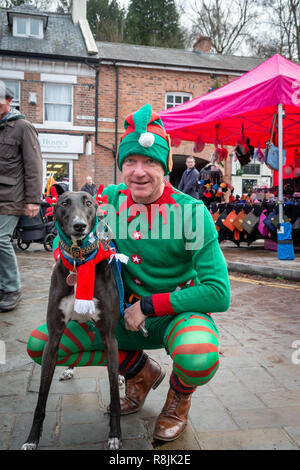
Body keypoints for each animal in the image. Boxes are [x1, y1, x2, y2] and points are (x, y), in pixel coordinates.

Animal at [21, 192, 122, 452]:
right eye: (64, 203)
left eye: (89, 203)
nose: (79, 226)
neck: (79, 262)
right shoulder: (53, 338)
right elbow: (41, 399)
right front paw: (31, 439)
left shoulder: (109, 337)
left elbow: (115, 395)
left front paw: (115, 435)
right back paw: (68, 369)